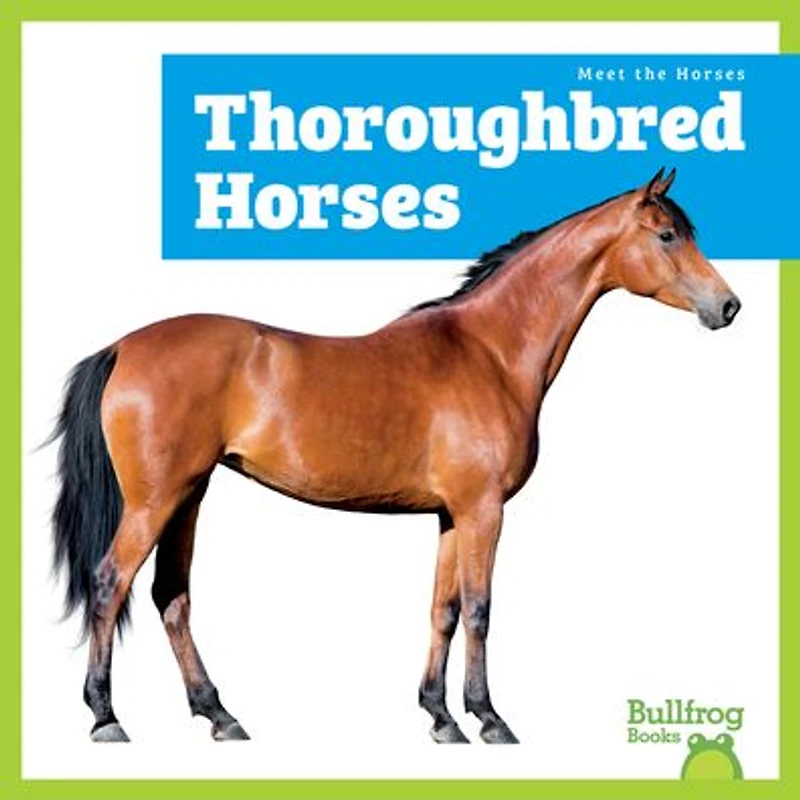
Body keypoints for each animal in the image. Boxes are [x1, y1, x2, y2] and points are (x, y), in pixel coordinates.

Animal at [51, 168, 740, 744]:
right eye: (668, 235)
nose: (727, 306)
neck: (489, 352)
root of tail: (122, 347)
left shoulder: (452, 514)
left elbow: (444, 610)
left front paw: (441, 717)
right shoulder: (484, 511)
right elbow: (481, 609)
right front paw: (489, 718)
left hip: (189, 495)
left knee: (172, 596)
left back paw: (220, 715)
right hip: (156, 499)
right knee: (111, 584)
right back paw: (107, 718)